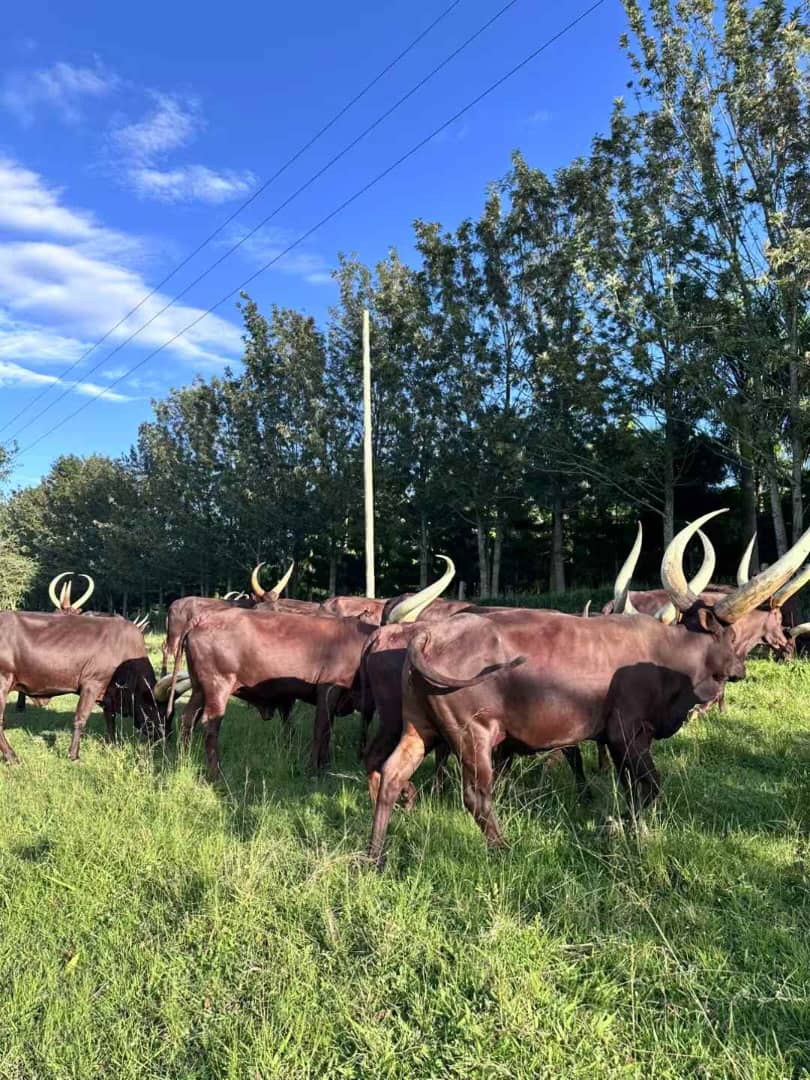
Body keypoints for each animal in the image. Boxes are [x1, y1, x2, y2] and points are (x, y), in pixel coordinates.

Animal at [0, 611, 167, 763]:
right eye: (160, 710)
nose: (164, 738)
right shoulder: (92, 684)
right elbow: (81, 718)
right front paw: (74, 755)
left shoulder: (108, 693)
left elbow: (110, 719)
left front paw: (112, 745)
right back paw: (12, 757)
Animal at [367, 509, 810, 867]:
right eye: (726, 632)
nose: (740, 669)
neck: (666, 652)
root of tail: (429, 635)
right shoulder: (627, 733)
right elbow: (650, 788)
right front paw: (630, 830)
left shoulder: (620, 742)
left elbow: (631, 789)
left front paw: (624, 825)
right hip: (470, 735)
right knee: (476, 797)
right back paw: (504, 850)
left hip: (419, 728)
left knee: (391, 776)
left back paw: (373, 856)